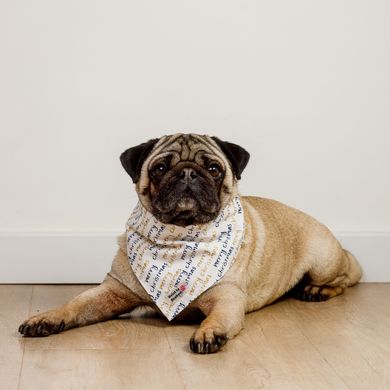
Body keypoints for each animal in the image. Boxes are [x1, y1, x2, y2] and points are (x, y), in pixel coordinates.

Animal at [18, 133, 362, 354]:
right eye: (159, 168)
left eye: (213, 168)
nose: (187, 173)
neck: (181, 237)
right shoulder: (112, 292)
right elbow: (75, 304)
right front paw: (46, 318)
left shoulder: (227, 298)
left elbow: (218, 317)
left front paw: (210, 332)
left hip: (323, 260)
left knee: (345, 279)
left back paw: (317, 290)